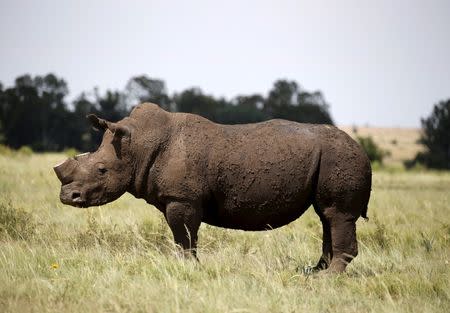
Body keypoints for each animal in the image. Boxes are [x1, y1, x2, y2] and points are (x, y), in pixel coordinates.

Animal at [52, 102, 370, 270]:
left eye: (101, 170)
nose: (68, 196)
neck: (138, 145)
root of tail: (361, 148)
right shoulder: (179, 198)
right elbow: (182, 238)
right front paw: (186, 267)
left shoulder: (182, 198)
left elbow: (185, 236)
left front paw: (189, 269)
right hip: (333, 158)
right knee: (327, 216)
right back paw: (312, 273)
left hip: (340, 156)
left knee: (337, 214)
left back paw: (327, 277)